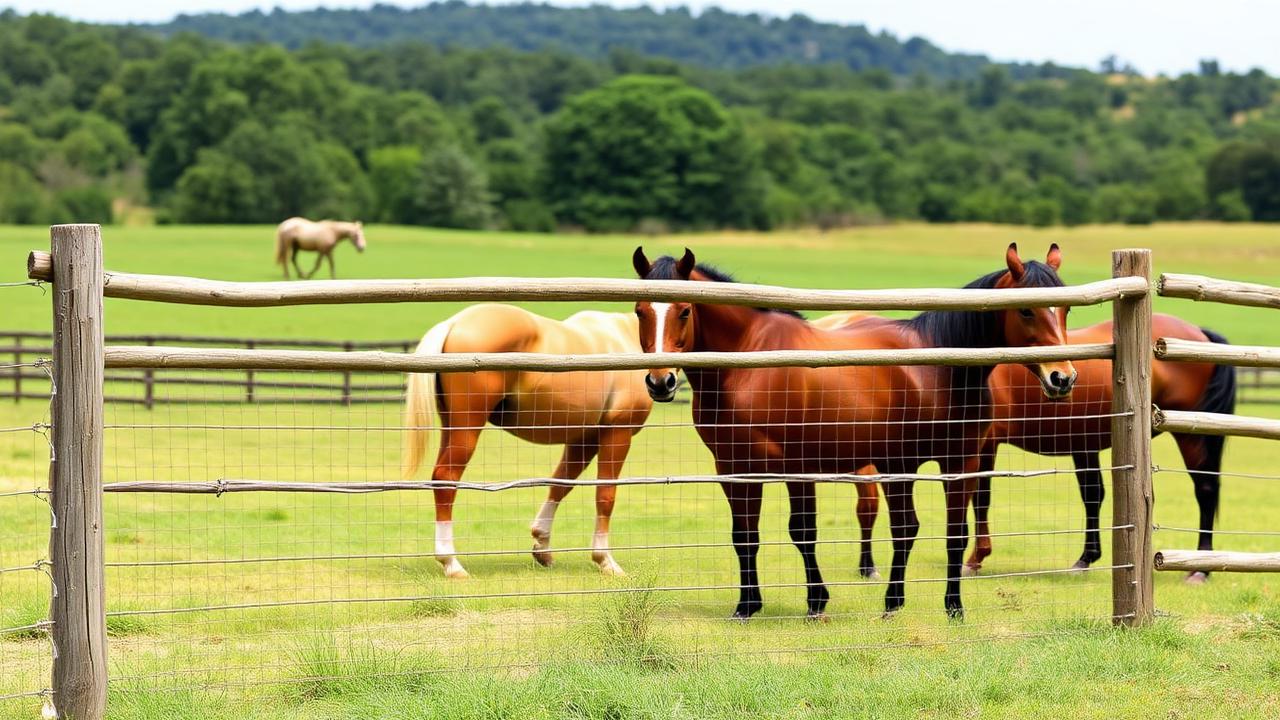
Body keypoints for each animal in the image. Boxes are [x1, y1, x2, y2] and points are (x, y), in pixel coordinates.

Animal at [401, 303, 653, 579]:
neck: (625, 335)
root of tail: (455, 323)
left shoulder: (584, 437)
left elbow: (560, 485)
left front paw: (542, 547)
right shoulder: (617, 431)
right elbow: (605, 494)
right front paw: (605, 560)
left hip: (451, 425)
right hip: (468, 427)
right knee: (446, 478)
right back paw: (451, 563)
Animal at [632, 243, 1075, 620]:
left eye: (684, 311)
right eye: (639, 311)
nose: (660, 382)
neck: (750, 359)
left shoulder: (796, 466)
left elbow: (803, 532)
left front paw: (816, 602)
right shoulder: (733, 466)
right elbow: (745, 535)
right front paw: (747, 605)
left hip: (950, 461)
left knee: (947, 533)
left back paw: (948, 606)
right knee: (913, 530)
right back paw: (900, 602)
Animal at [963, 317, 1236, 583]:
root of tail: (1199, 332)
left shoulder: (986, 443)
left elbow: (980, 497)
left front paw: (975, 559)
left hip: (1191, 435)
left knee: (1206, 489)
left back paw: (1200, 569)